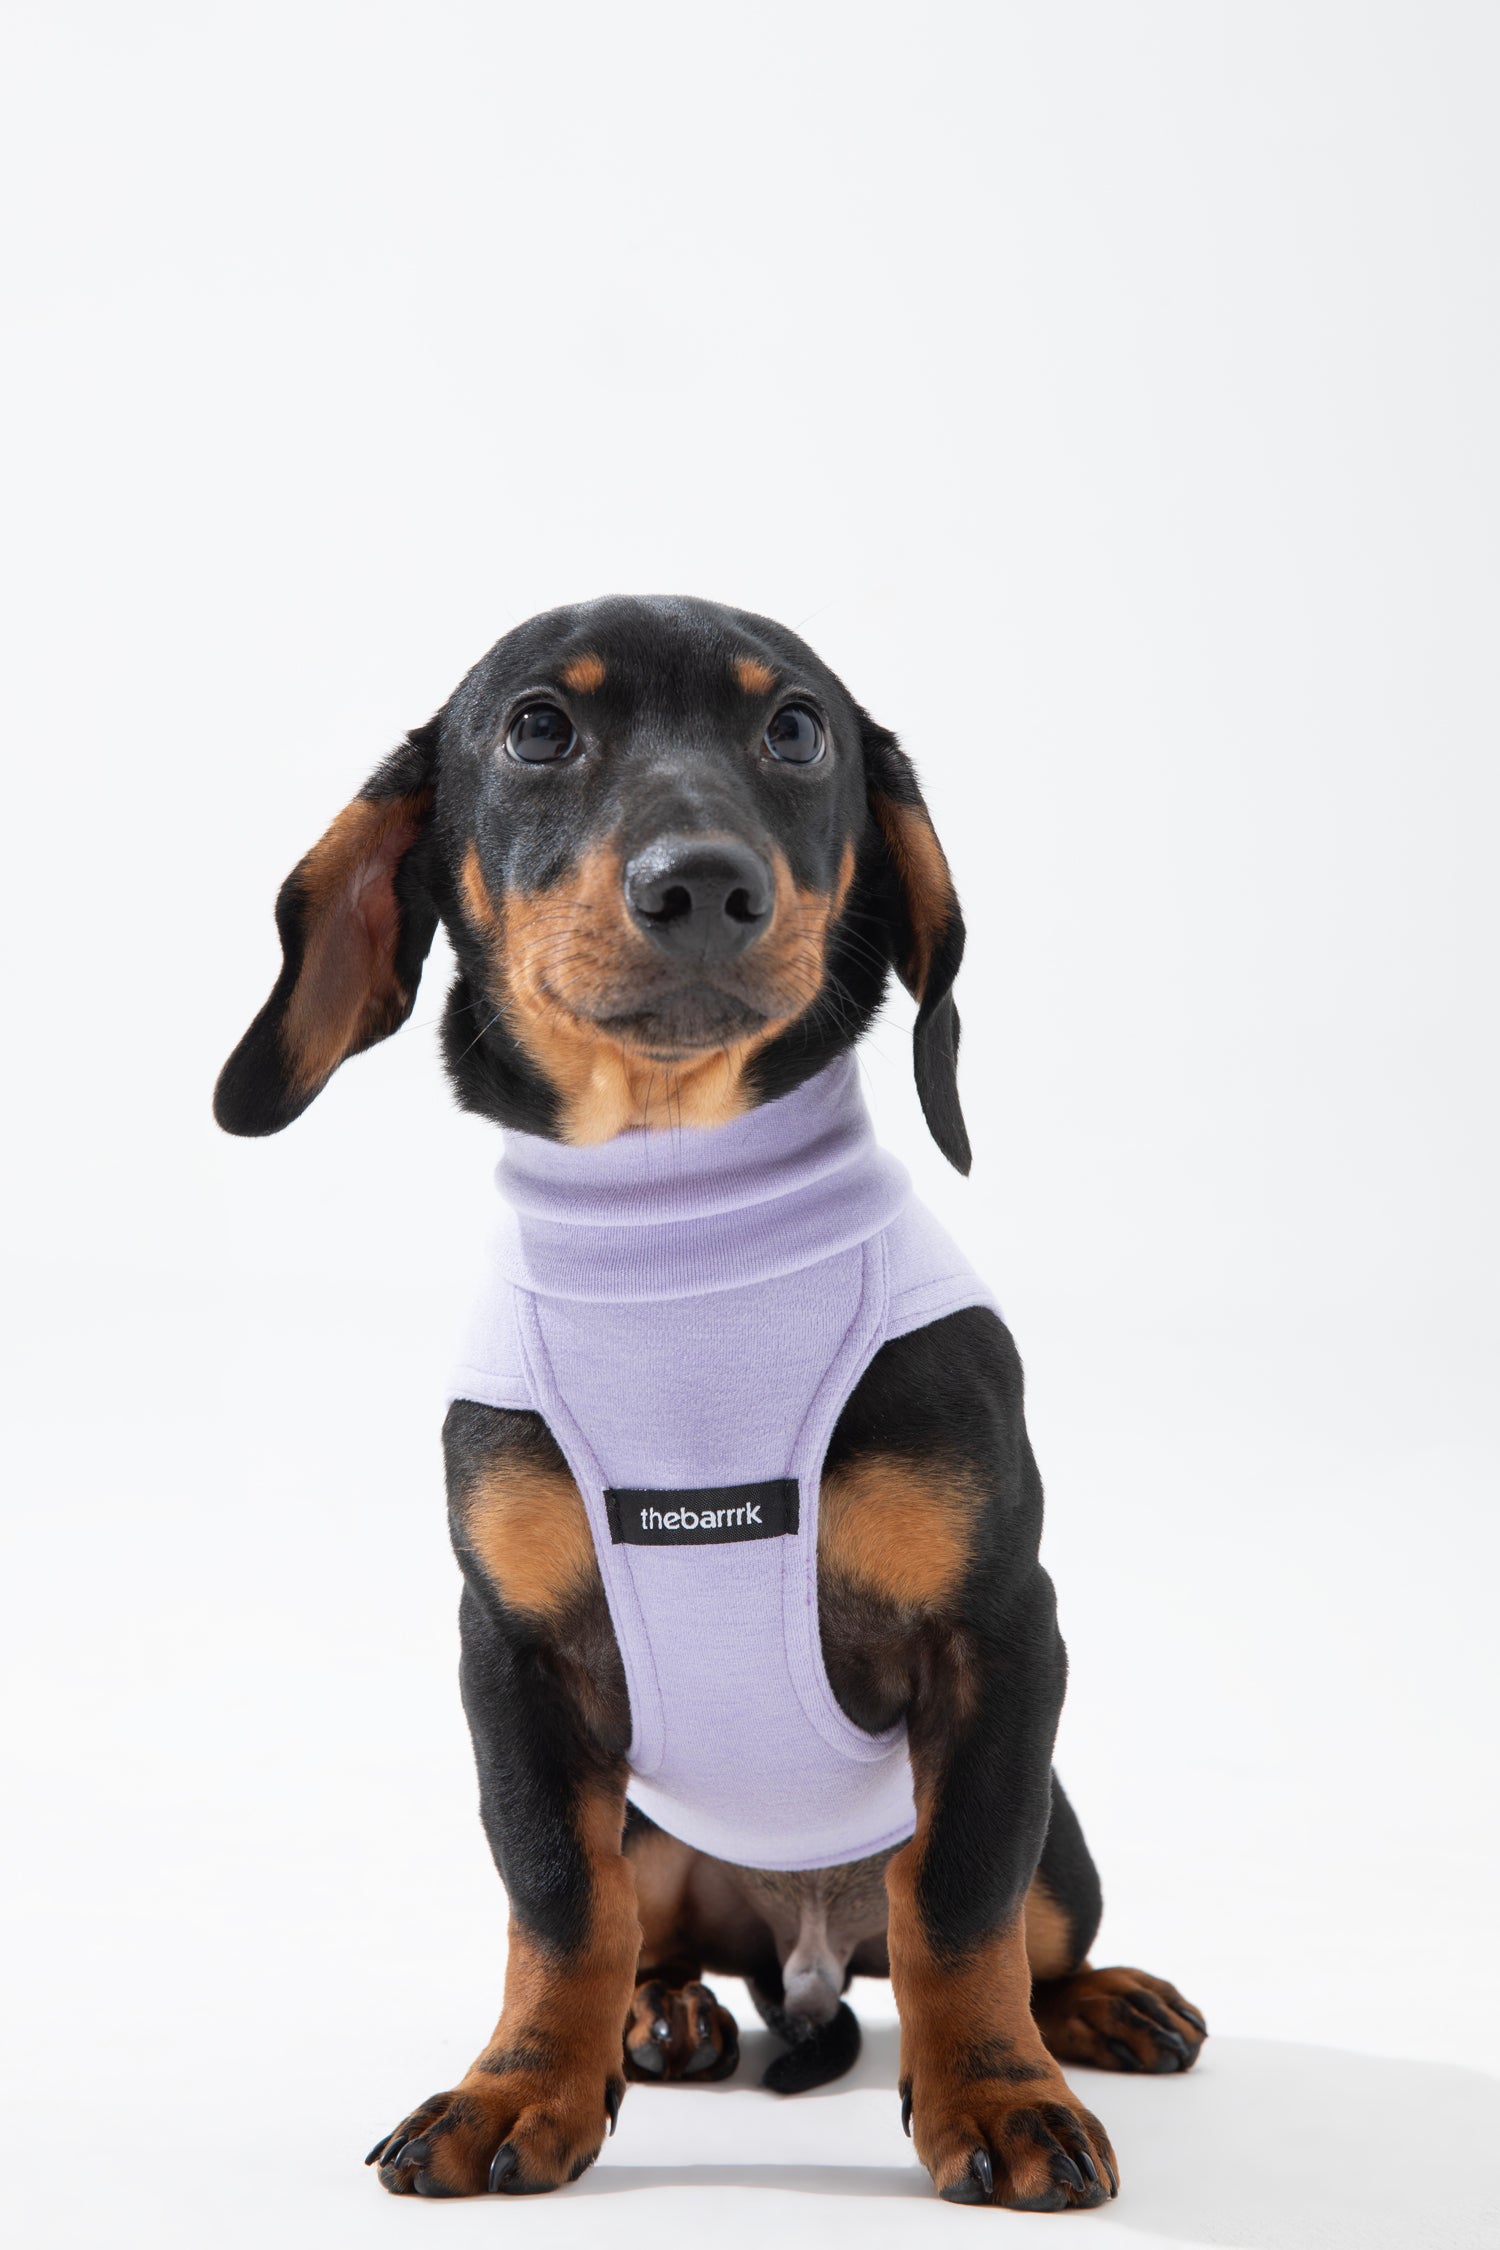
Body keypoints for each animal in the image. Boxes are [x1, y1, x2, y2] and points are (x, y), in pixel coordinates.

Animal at [215, 593, 1206, 2210]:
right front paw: (520, 2088)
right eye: (537, 727)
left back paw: (1095, 2004)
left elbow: (960, 1903)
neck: (679, 1224)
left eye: (793, 728)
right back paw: (660, 2016)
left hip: (1060, 1835)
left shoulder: (1003, 1641)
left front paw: (999, 2101)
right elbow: (558, 1902)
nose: (703, 887)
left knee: (1018, 1926)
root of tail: (799, 1947)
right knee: (642, 1926)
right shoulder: (516, 1663)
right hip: (652, 1822)